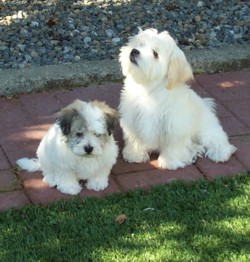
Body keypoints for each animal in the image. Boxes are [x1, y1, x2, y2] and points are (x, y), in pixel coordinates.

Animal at [119, 28, 236, 171]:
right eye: (140, 44)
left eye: (155, 53)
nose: (134, 51)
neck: (149, 89)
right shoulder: (132, 119)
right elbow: (134, 137)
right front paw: (135, 154)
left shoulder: (174, 124)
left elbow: (173, 143)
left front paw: (169, 161)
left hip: (206, 128)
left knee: (217, 139)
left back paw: (220, 153)